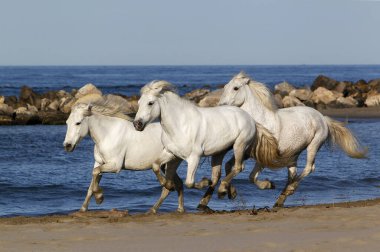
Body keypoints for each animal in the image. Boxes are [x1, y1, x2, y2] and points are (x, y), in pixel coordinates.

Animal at [132, 80, 284, 211]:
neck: (181, 125)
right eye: (139, 102)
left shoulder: (194, 157)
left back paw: (225, 189)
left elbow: (189, 182)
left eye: (150, 103)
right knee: (221, 173)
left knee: (238, 167)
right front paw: (168, 185)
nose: (137, 124)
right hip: (220, 152)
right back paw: (227, 192)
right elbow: (155, 165)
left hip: (240, 145)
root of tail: (250, 118)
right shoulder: (171, 153)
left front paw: (203, 182)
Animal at [220, 71, 368, 207]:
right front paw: (230, 192)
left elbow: (251, 176)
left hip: (313, 145)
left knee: (309, 168)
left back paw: (289, 190)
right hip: (293, 154)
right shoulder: (246, 152)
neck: (261, 123)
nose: (222, 105)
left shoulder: (263, 156)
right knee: (293, 173)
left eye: (236, 88)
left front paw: (268, 185)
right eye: (226, 86)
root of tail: (322, 118)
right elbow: (229, 166)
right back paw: (280, 199)